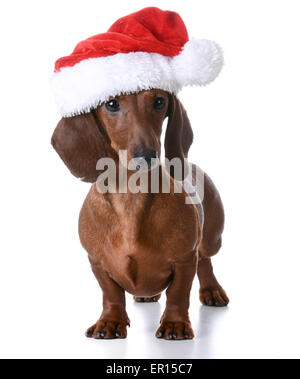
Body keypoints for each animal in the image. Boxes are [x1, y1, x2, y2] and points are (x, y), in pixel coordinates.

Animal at [52, 90, 230, 342]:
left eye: (159, 101)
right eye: (111, 104)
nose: (147, 156)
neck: (131, 195)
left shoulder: (185, 259)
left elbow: (178, 293)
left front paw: (175, 324)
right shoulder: (96, 261)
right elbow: (111, 294)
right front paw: (110, 321)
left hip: (213, 239)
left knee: (205, 260)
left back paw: (211, 290)